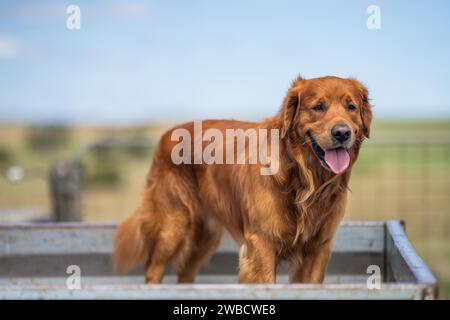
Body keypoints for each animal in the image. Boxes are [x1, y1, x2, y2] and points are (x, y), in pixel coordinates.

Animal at [113, 76, 372, 284]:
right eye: (318, 107)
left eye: (351, 107)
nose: (342, 133)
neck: (304, 179)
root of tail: (167, 134)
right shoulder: (262, 244)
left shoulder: (319, 247)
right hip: (173, 225)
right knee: (153, 269)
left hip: (204, 236)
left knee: (185, 273)